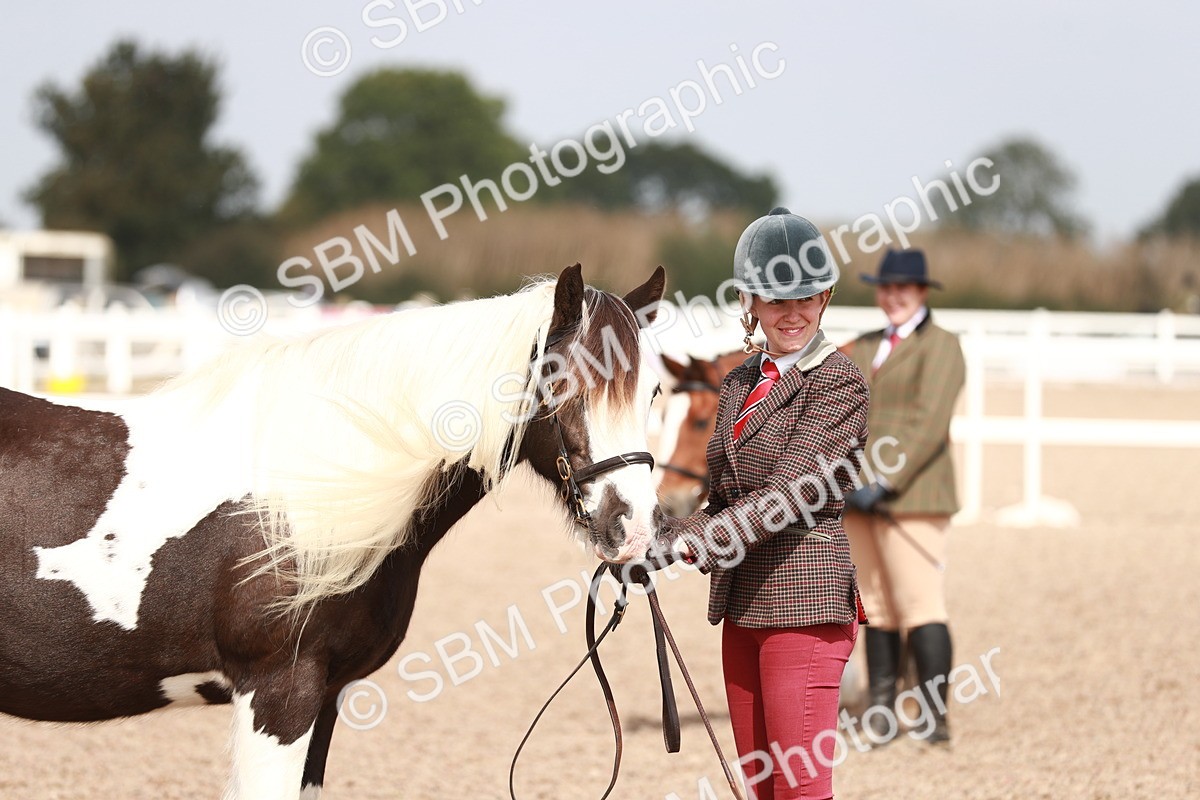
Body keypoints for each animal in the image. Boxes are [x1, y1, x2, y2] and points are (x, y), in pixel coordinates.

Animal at [0, 263, 666, 799]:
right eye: (562, 383)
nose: (632, 527)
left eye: (655, 390)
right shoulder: (277, 695)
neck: (314, 487)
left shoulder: (325, 698)